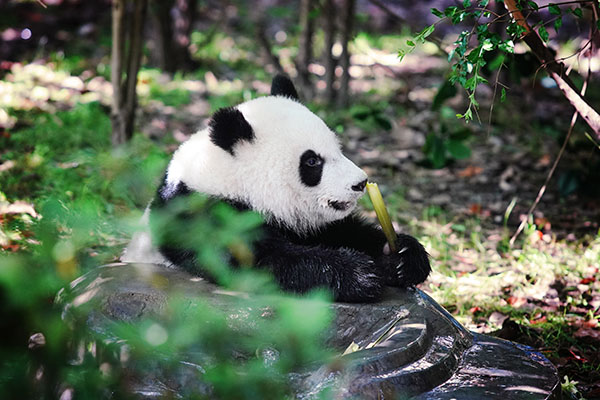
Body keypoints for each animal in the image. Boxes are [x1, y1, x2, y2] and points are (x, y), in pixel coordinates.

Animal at [123, 75, 432, 302]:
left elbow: (344, 231)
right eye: (312, 161)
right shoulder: (203, 216)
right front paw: (359, 273)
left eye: (338, 148)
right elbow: (263, 261)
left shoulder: (306, 222)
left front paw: (402, 257)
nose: (359, 183)